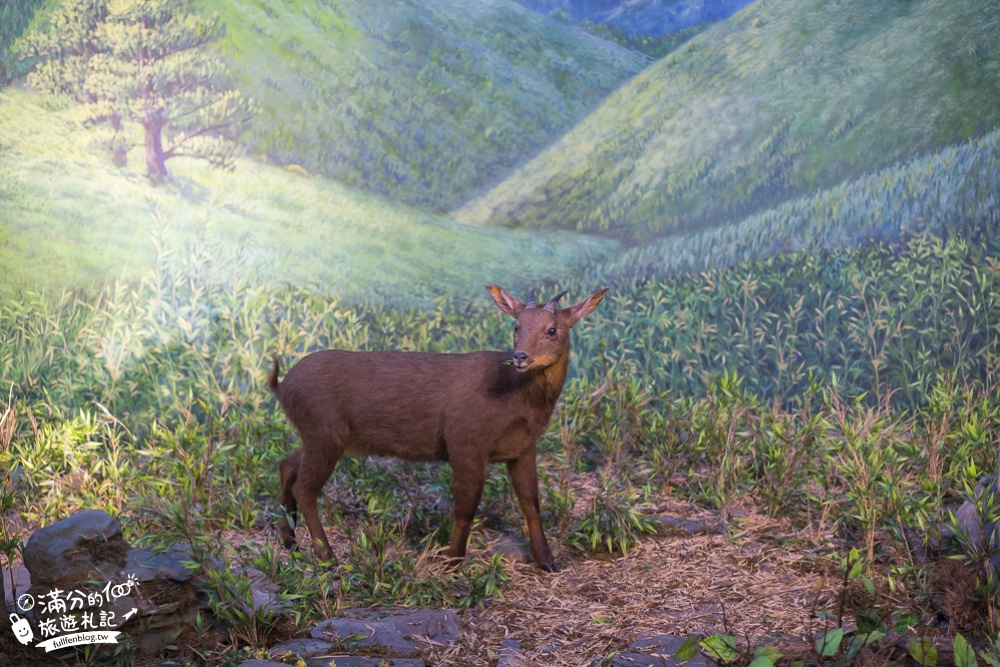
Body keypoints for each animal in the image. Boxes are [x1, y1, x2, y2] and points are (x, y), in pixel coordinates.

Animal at [268, 284, 608, 572]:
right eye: (517, 326)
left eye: (552, 329)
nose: (520, 356)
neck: (516, 397)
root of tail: (281, 386)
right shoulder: (465, 439)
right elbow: (466, 505)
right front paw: (452, 561)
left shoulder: (523, 447)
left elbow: (531, 502)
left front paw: (548, 561)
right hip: (325, 432)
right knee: (305, 487)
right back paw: (326, 555)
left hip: (317, 435)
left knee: (287, 465)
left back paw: (290, 542)